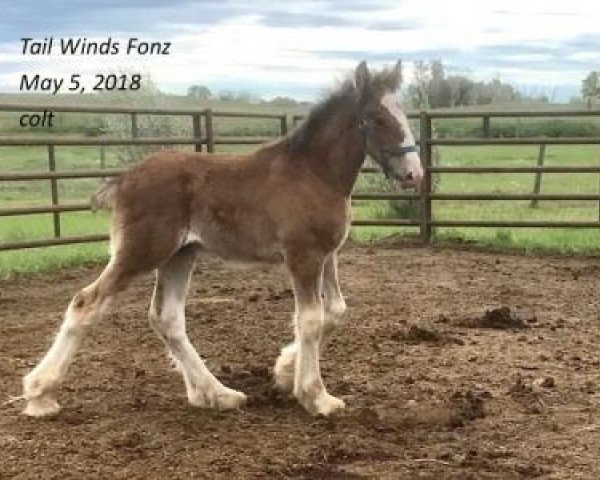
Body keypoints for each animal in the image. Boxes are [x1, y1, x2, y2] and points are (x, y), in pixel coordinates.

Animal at [22, 61, 422, 416]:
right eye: (378, 118)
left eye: (403, 115)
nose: (414, 174)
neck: (313, 173)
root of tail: (123, 180)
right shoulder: (302, 256)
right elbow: (310, 319)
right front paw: (316, 397)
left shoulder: (327, 255)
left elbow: (334, 313)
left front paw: (284, 371)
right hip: (142, 252)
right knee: (86, 303)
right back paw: (40, 394)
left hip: (180, 255)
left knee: (167, 319)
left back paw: (216, 394)